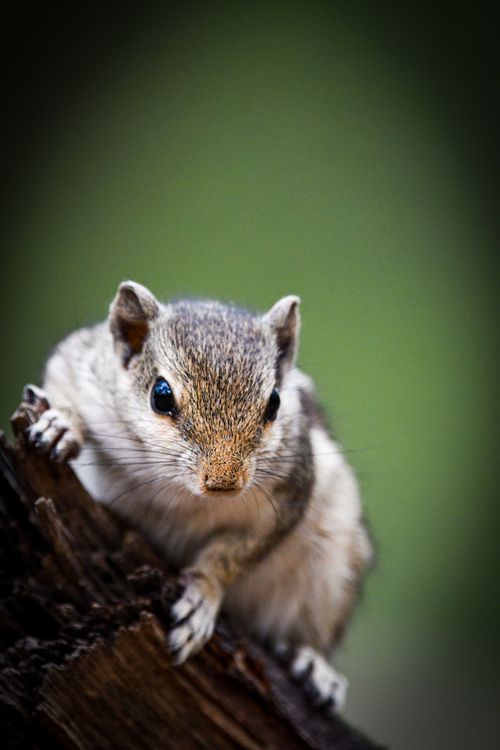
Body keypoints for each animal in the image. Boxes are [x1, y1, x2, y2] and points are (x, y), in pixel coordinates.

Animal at [24, 280, 373, 713]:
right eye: (160, 395)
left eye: (275, 402)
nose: (223, 482)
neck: (185, 492)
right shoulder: (83, 366)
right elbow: (61, 376)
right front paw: (62, 424)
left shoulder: (290, 493)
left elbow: (232, 556)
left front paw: (202, 596)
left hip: (335, 569)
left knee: (315, 634)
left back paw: (316, 667)